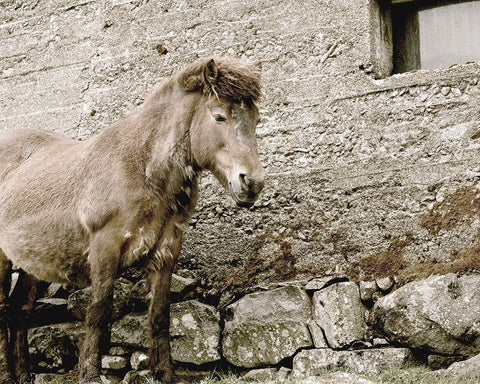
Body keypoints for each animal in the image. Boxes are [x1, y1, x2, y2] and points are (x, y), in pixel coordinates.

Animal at [0, 57, 262, 384]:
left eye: (256, 120)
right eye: (219, 117)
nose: (252, 183)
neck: (143, 166)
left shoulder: (166, 250)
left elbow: (160, 314)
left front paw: (164, 374)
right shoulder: (105, 247)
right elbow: (99, 311)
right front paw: (90, 373)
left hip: (33, 262)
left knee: (18, 310)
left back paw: (22, 375)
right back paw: (6, 374)